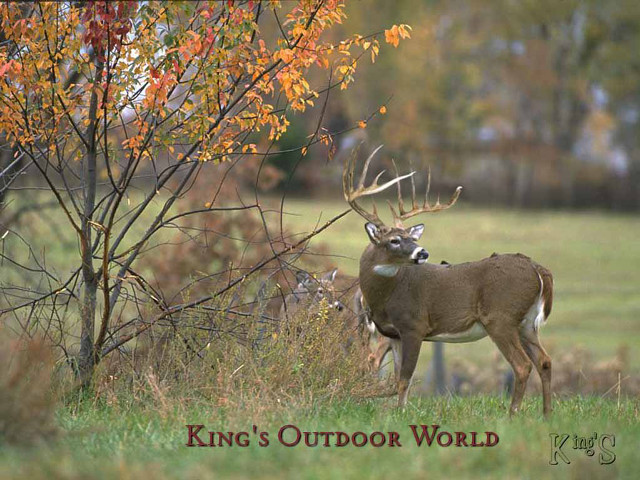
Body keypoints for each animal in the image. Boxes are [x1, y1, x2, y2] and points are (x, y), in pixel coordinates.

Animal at [343, 146, 554, 416]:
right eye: (394, 240)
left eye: (410, 238)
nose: (422, 252)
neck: (387, 295)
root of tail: (537, 268)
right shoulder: (394, 334)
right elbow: (398, 378)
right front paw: (397, 411)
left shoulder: (414, 325)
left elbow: (404, 379)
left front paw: (401, 413)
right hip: (526, 323)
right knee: (544, 361)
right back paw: (546, 415)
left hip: (501, 318)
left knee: (522, 365)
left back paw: (512, 415)